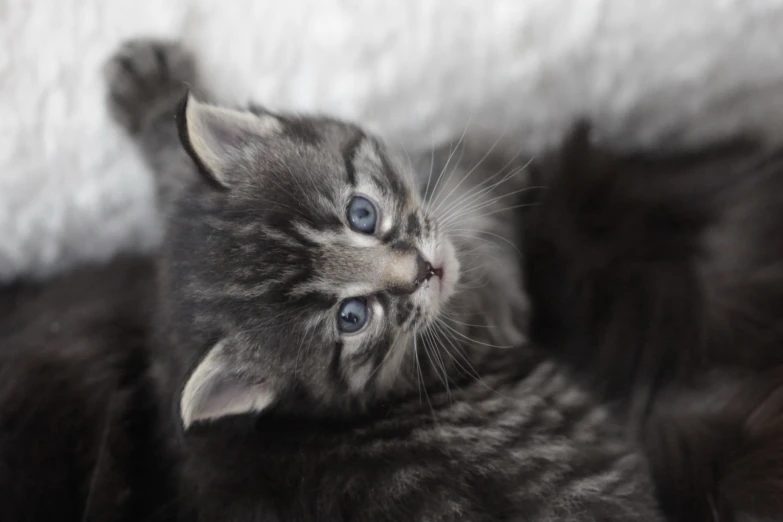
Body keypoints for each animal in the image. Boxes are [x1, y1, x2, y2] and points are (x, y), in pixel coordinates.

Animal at [104, 37, 664, 520]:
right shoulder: (491, 311)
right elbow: (480, 212)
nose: (425, 270)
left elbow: (174, 173)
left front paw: (148, 91)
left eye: (362, 214)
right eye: (352, 317)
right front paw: (487, 155)